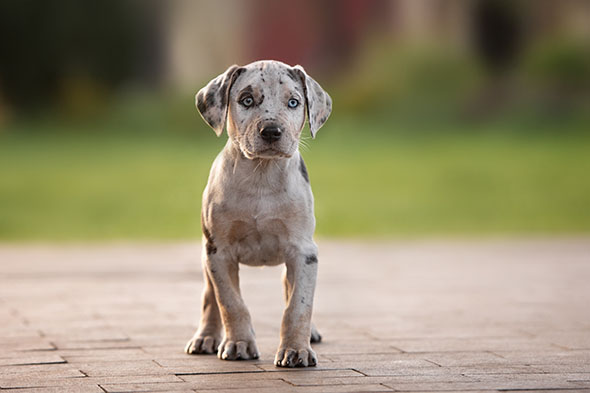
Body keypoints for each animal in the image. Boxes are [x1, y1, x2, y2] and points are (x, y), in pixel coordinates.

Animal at [185, 59, 332, 366]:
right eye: (247, 100)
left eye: (293, 102)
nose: (272, 131)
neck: (261, 176)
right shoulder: (219, 252)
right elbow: (230, 302)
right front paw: (238, 343)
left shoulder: (304, 252)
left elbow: (298, 305)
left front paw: (296, 350)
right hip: (206, 257)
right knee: (209, 298)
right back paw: (205, 337)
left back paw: (309, 334)